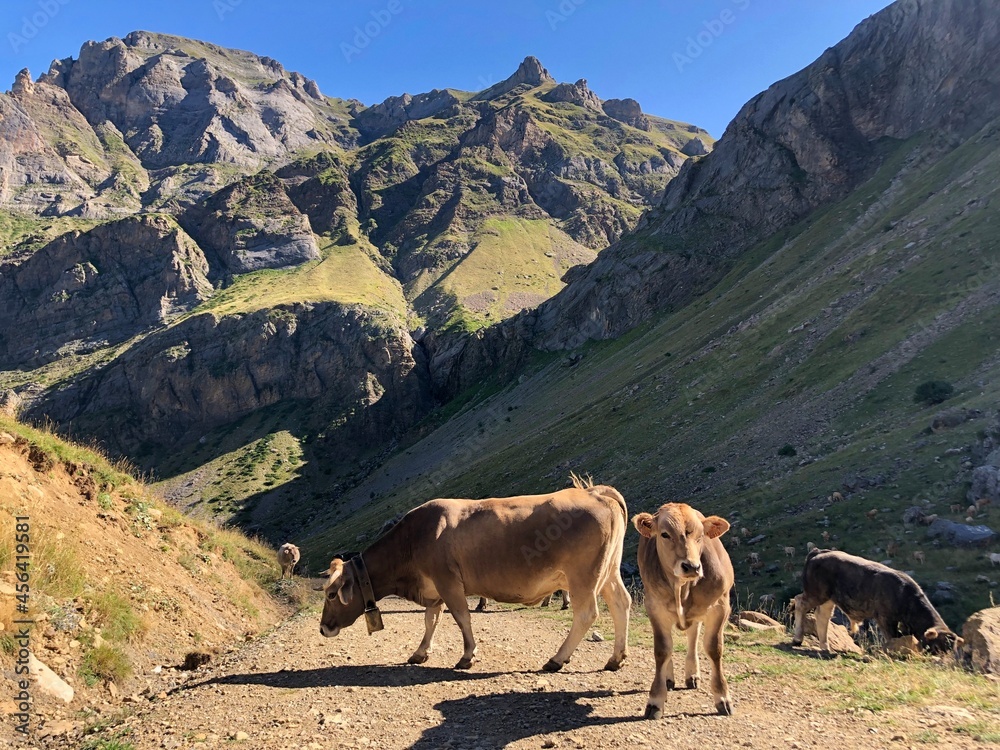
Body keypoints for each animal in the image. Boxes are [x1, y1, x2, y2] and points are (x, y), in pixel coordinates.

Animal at [318, 476, 631, 671]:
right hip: (609, 571)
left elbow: (461, 617)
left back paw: (557, 658)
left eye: (332, 594)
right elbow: (430, 620)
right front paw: (420, 652)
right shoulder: (433, 589)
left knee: (587, 613)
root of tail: (594, 491)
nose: (323, 628)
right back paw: (615, 659)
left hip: (583, 576)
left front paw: (467, 655)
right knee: (621, 604)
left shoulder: (448, 581)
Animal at [633, 503, 735, 718]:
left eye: (701, 535)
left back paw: (692, 675)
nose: (691, 566)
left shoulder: (721, 606)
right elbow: (662, 650)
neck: (682, 587)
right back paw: (669, 678)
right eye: (664, 534)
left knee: (693, 635)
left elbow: (714, 649)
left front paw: (723, 698)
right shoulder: (654, 608)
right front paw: (655, 700)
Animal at [792, 549, 961, 655]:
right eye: (937, 646)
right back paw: (798, 639)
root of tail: (818, 552)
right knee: (800, 603)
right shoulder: (885, 619)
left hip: (828, 599)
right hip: (816, 593)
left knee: (822, 616)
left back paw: (825, 646)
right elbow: (892, 637)